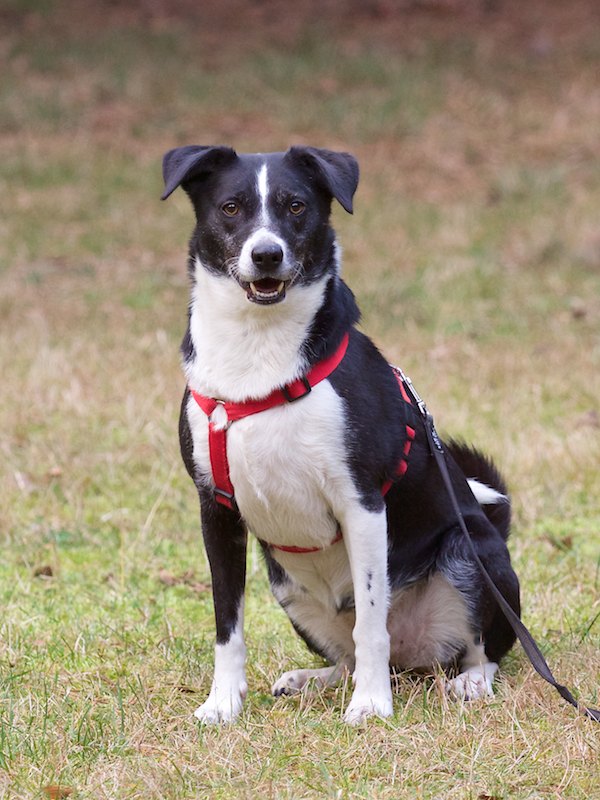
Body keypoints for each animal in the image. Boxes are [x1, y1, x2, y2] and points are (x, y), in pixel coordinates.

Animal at [161, 145, 521, 725]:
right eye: (231, 207)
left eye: (297, 206)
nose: (267, 255)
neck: (258, 349)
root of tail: (415, 658)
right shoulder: (215, 509)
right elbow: (227, 625)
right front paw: (223, 704)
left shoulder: (362, 504)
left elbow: (371, 622)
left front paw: (372, 707)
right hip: (288, 587)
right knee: (348, 657)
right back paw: (312, 680)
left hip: (470, 558)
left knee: (479, 649)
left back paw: (467, 682)